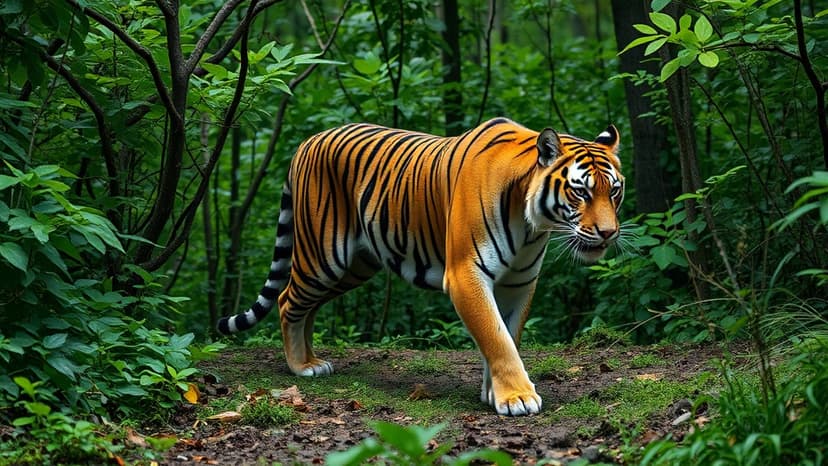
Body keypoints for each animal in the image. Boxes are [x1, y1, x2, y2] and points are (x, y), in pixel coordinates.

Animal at [217, 117, 624, 416]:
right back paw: (301, 366)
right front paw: (518, 397)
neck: (531, 226)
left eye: (614, 191)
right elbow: (496, 336)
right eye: (581, 191)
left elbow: (508, 335)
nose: (608, 233)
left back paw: (312, 359)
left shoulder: (519, 282)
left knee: (307, 305)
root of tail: (307, 141)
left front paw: (496, 393)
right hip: (323, 256)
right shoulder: (466, 274)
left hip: (354, 266)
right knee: (287, 299)